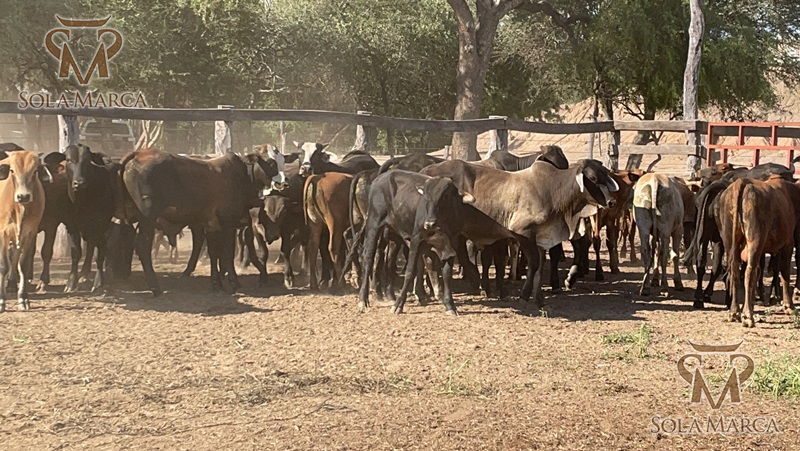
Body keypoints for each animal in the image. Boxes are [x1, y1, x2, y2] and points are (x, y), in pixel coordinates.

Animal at [0, 151, 51, 311]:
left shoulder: (30, 234)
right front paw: (2, 301)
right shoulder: (2, 233)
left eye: (35, 171)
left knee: (15, 257)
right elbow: (3, 266)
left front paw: (23, 298)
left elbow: (22, 265)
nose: (23, 196)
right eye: (12, 171)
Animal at [121, 148, 284, 294]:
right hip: (148, 217)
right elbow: (227, 252)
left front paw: (216, 283)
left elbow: (213, 253)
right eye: (271, 163)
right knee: (142, 245)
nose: (283, 183)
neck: (242, 175)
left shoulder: (212, 225)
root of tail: (138, 154)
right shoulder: (228, 222)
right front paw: (233, 282)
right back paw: (155, 286)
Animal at [357, 170, 478, 314]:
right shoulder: (416, 240)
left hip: (394, 235)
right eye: (425, 198)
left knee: (389, 261)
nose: (429, 223)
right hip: (373, 224)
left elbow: (446, 274)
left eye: (445, 197)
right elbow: (410, 271)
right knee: (368, 258)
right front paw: (398, 305)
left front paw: (450, 305)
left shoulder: (452, 245)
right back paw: (363, 300)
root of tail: (379, 178)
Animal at [422, 158, 619, 307]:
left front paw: (539, 299)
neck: (553, 191)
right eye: (592, 177)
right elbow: (533, 264)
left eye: (606, 174)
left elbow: (539, 266)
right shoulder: (523, 232)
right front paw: (525, 295)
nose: (611, 202)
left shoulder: (541, 238)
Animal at [719, 176, 800, 327]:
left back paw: (734, 312)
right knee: (749, 273)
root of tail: (742, 182)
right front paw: (789, 306)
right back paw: (748, 316)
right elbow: (784, 273)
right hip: (755, 240)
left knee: (735, 272)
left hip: (729, 240)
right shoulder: (788, 243)